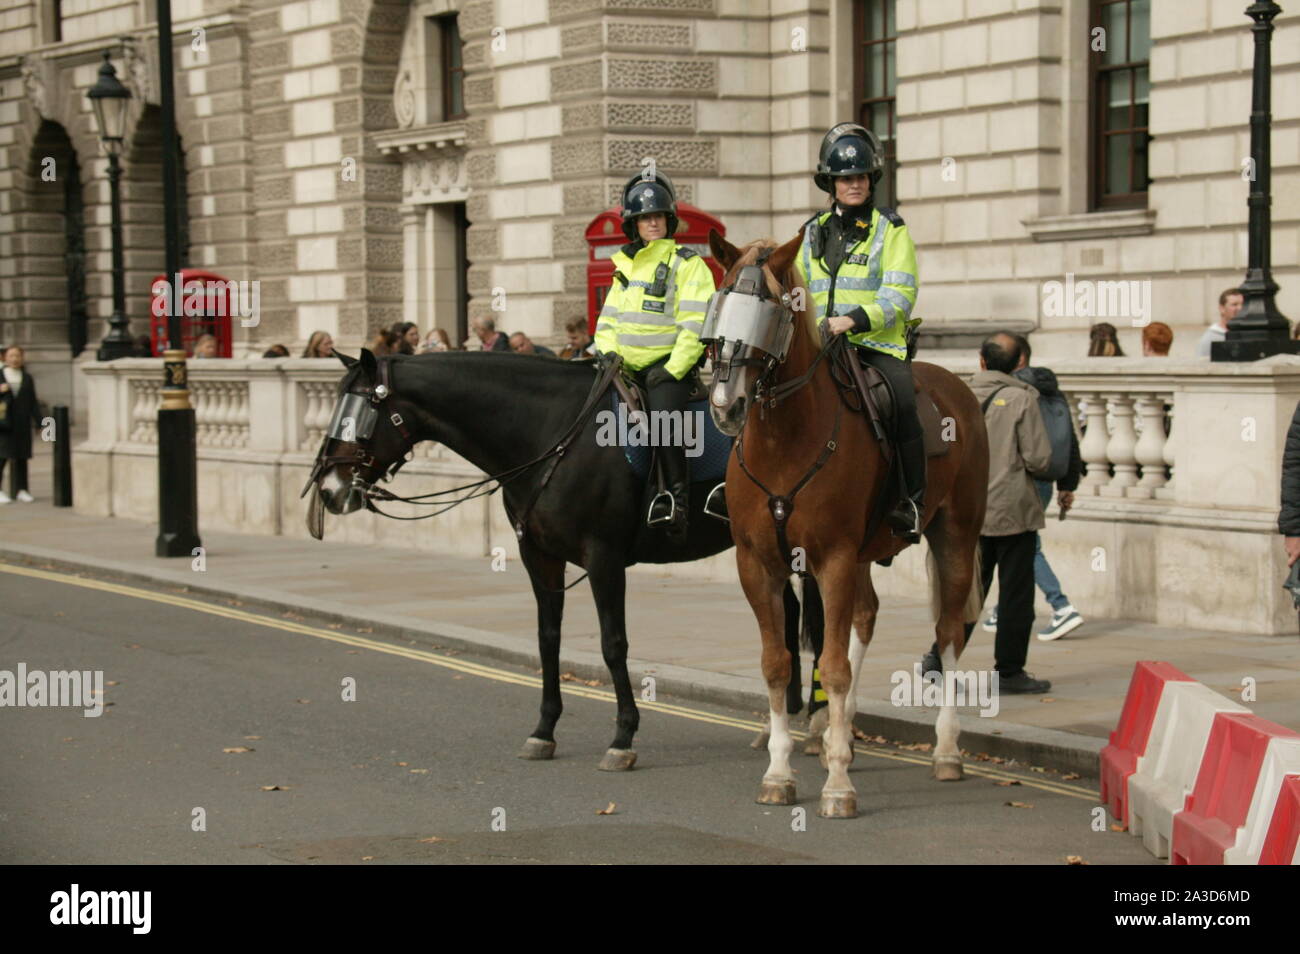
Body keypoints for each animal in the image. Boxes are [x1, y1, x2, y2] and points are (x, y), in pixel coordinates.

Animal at [707, 231, 987, 821]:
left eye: (772, 308)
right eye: (721, 300)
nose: (726, 405)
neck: (784, 441)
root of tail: (954, 382)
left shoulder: (831, 557)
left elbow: (831, 667)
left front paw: (836, 787)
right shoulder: (759, 564)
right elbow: (778, 664)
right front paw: (780, 772)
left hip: (955, 535)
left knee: (948, 632)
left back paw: (946, 750)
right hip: (862, 555)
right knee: (865, 616)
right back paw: (846, 735)